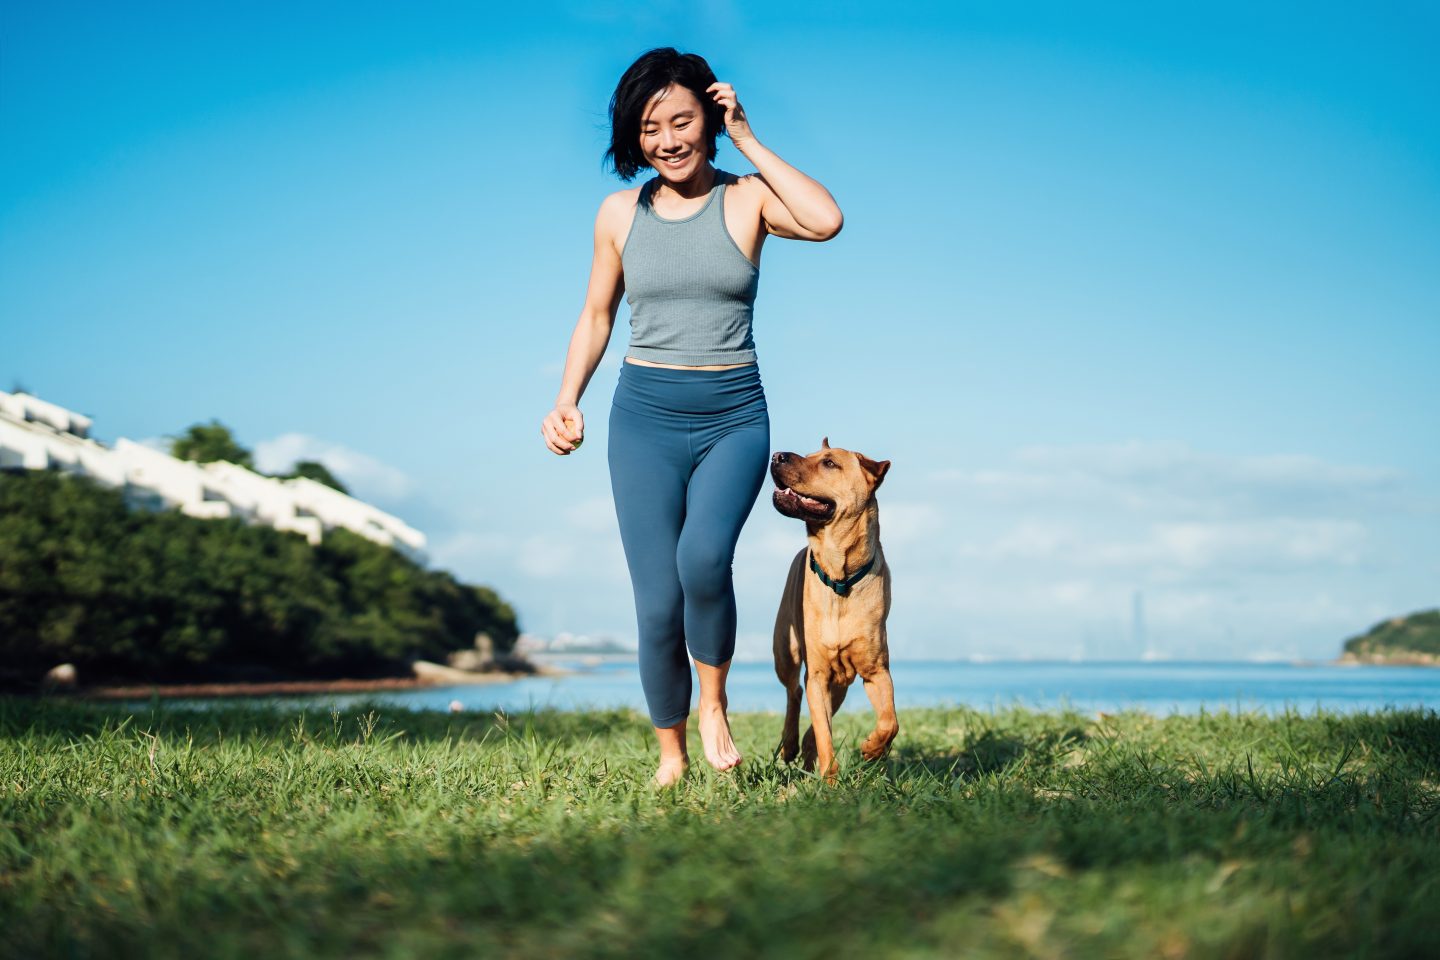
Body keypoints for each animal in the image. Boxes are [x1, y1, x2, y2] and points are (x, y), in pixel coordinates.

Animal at [771, 434, 892, 782]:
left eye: (829, 463)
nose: (776, 455)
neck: (841, 578)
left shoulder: (876, 670)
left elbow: (889, 720)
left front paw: (873, 748)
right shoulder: (819, 673)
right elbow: (825, 733)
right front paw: (831, 780)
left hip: (840, 683)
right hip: (786, 651)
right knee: (795, 692)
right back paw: (790, 744)